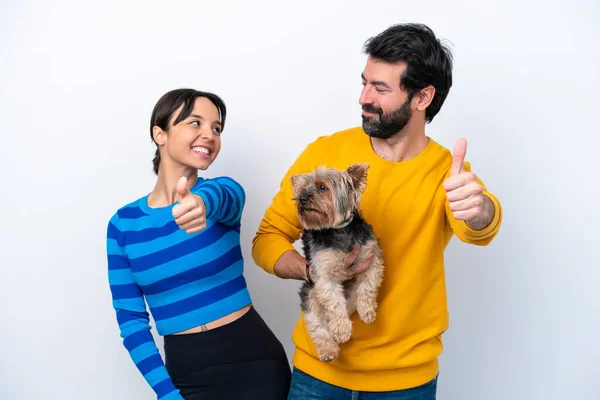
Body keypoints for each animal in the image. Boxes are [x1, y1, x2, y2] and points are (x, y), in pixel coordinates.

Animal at [290, 162, 384, 362]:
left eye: (322, 187)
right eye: (302, 189)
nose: (301, 198)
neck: (338, 230)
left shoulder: (371, 258)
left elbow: (368, 287)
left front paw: (367, 311)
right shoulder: (324, 276)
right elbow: (334, 303)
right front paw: (341, 330)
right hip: (310, 294)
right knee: (318, 325)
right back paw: (329, 349)